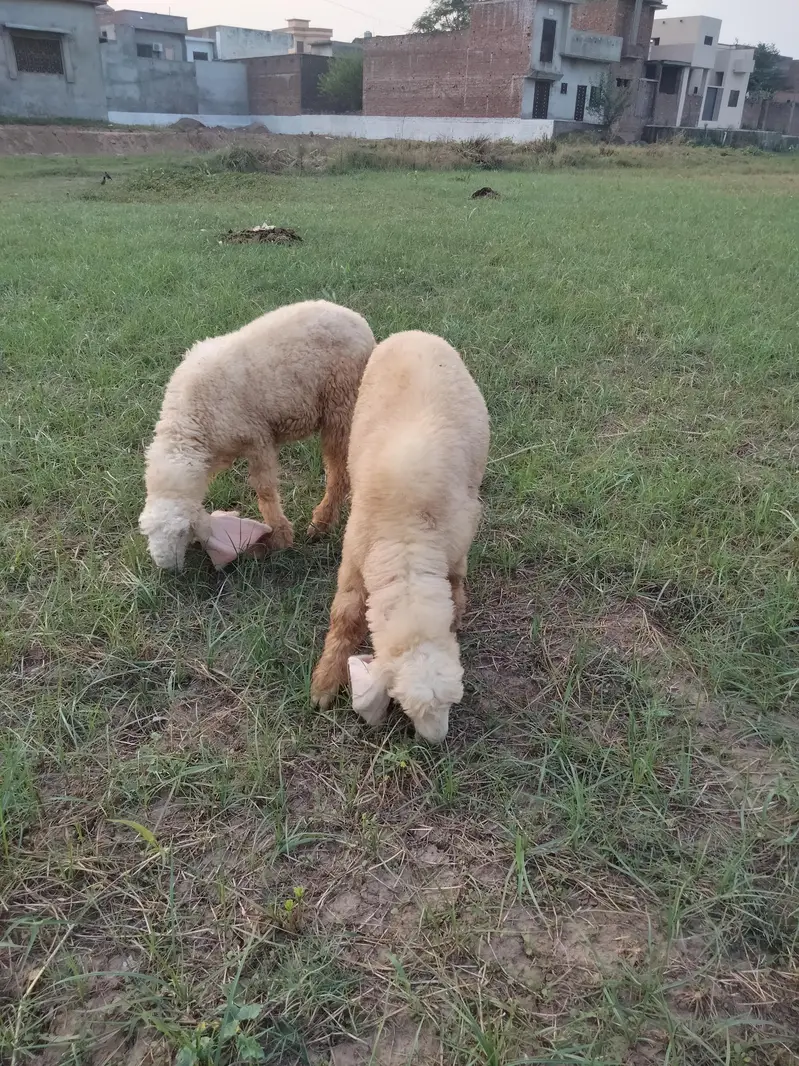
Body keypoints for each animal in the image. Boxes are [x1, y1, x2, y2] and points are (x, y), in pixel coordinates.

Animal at [139, 300, 375, 570]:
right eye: (148, 534)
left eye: (181, 533)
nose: (168, 569)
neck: (192, 420)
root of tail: (357, 320)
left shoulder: (257, 438)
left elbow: (265, 490)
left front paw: (279, 537)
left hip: (341, 403)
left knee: (340, 471)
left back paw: (321, 523)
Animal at [310, 331, 490, 742]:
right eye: (405, 706)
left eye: (452, 702)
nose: (437, 741)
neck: (407, 538)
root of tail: (416, 333)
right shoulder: (353, 558)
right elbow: (344, 617)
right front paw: (325, 681)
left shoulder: (458, 545)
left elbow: (456, 583)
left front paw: (459, 612)